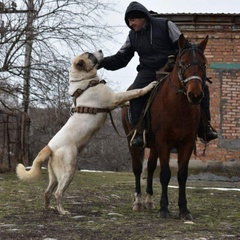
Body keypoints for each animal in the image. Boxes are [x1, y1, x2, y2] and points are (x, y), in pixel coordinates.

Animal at [15, 49, 158, 215]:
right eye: (89, 54)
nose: (101, 50)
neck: (84, 82)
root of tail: (49, 146)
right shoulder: (115, 98)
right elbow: (135, 92)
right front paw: (149, 86)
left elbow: (128, 100)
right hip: (68, 171)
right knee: (58, 193)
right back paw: (62, 211)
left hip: (55, 176)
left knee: (47, 191)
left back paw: (48, 208)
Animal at [122, 34, 208, 221]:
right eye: (182, 63)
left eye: (204, 63)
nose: (195, 95)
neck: (178, 107)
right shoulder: (164, 142)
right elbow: (165, 174)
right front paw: (164, 208)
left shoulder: (186, 143)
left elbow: (181, 175)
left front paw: (184, 210)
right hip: (133, 141)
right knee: (137, 168)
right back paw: (138, 201)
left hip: (153, 146)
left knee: (150, 167)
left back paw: (149, 200)